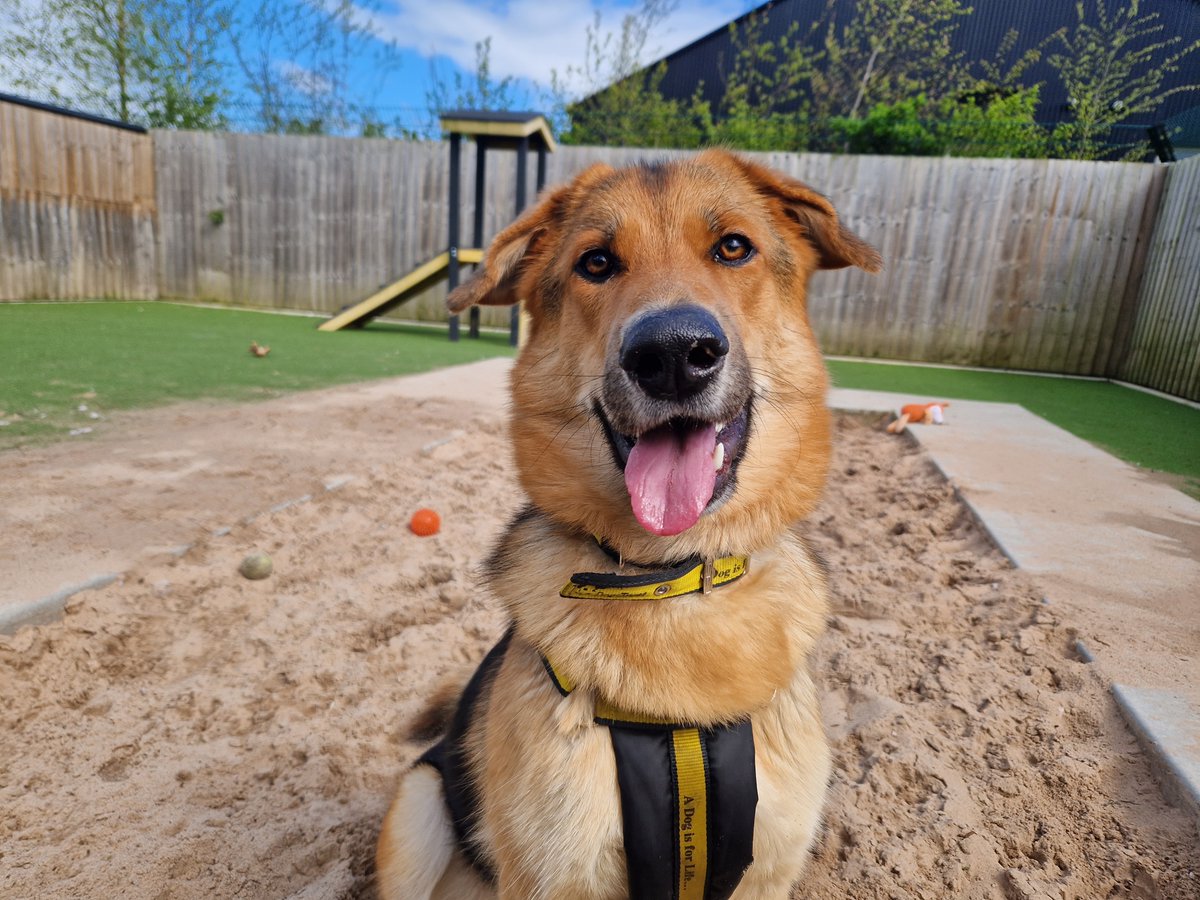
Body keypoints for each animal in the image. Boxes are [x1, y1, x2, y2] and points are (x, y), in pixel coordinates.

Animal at [374, 151, 883, 897]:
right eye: (596, 263)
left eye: (735, 248)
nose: (671, 353)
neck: (668, 578)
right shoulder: (553, 876)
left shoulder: (768, 872)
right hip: (416, 815)